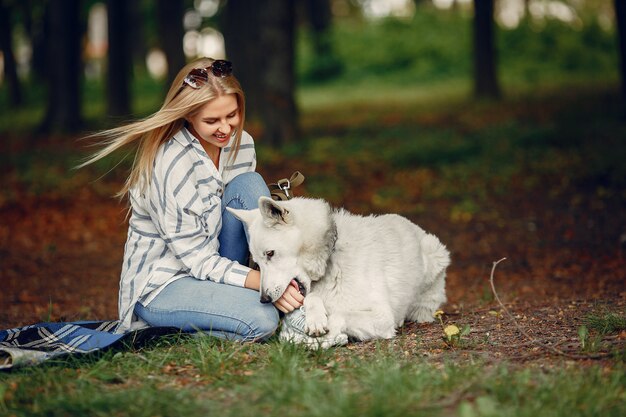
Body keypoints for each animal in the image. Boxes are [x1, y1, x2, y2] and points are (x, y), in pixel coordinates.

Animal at [229, 197, 448, 346]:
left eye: (270, 253)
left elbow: (341, 314)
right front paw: (316, 318)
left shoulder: (382, 316)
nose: (264, 299)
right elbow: (312, 298)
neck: (330, 258)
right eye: (257, 262)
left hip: (435, 255)